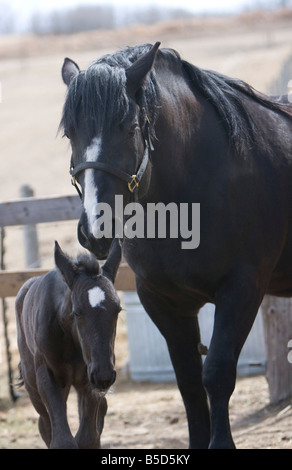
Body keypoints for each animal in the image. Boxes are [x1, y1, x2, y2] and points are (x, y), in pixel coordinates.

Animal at [60, 43, 292, 448]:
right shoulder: (162, 300)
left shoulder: (242, 289)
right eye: (70, 134)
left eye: (130, 128)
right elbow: (188, 382)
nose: (95, 229)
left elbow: (217, 372)